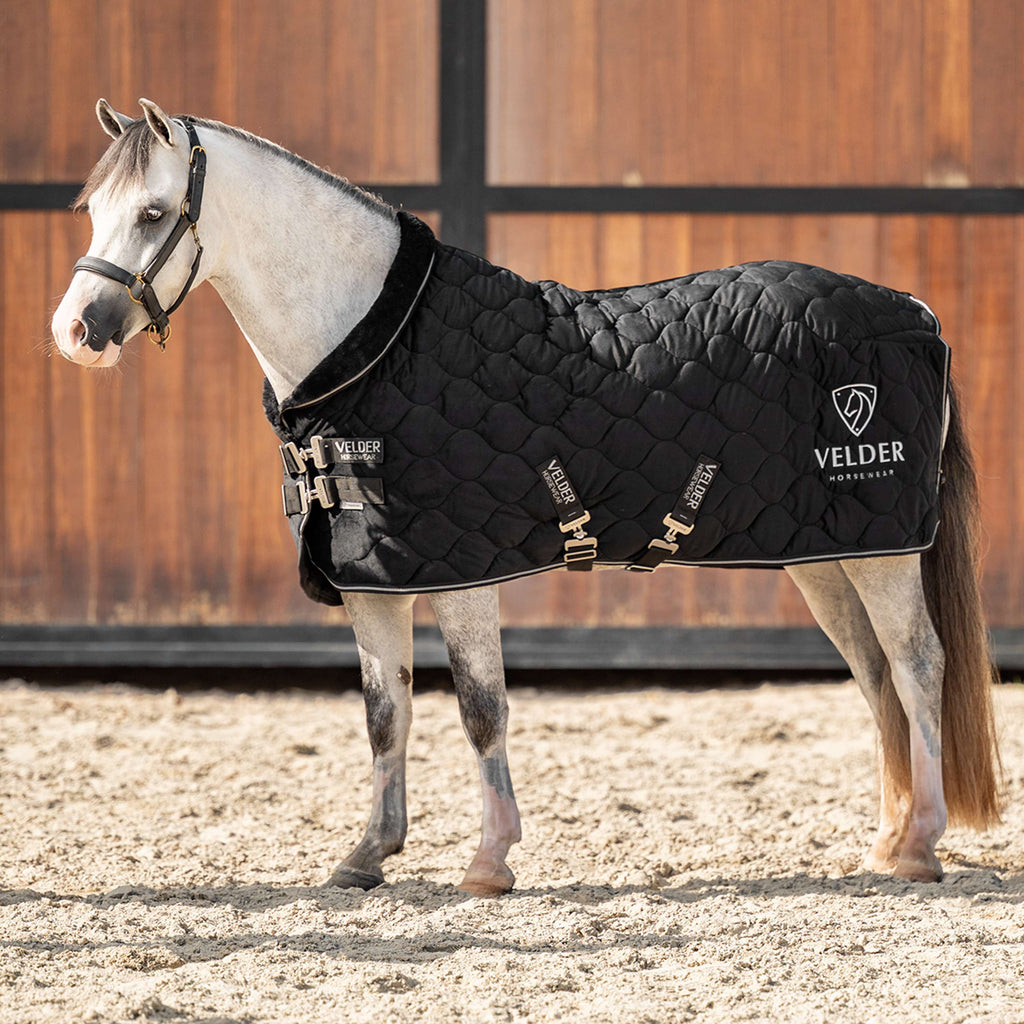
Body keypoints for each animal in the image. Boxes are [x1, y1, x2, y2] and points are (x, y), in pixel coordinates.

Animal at [51, 99, 1001, 897]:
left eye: (153, 213)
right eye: (94, 211)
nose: (74, 333)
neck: (374, 347)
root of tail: (915, 313)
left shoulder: (463, 572)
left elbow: (480, 708)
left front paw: (489, 861)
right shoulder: (375, 580)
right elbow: (385, 713)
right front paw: (368, 855)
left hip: (882, 550)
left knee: (917, 664)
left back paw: (921, 846)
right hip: (825, 552)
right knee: (874, 674)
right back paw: (886, 842)